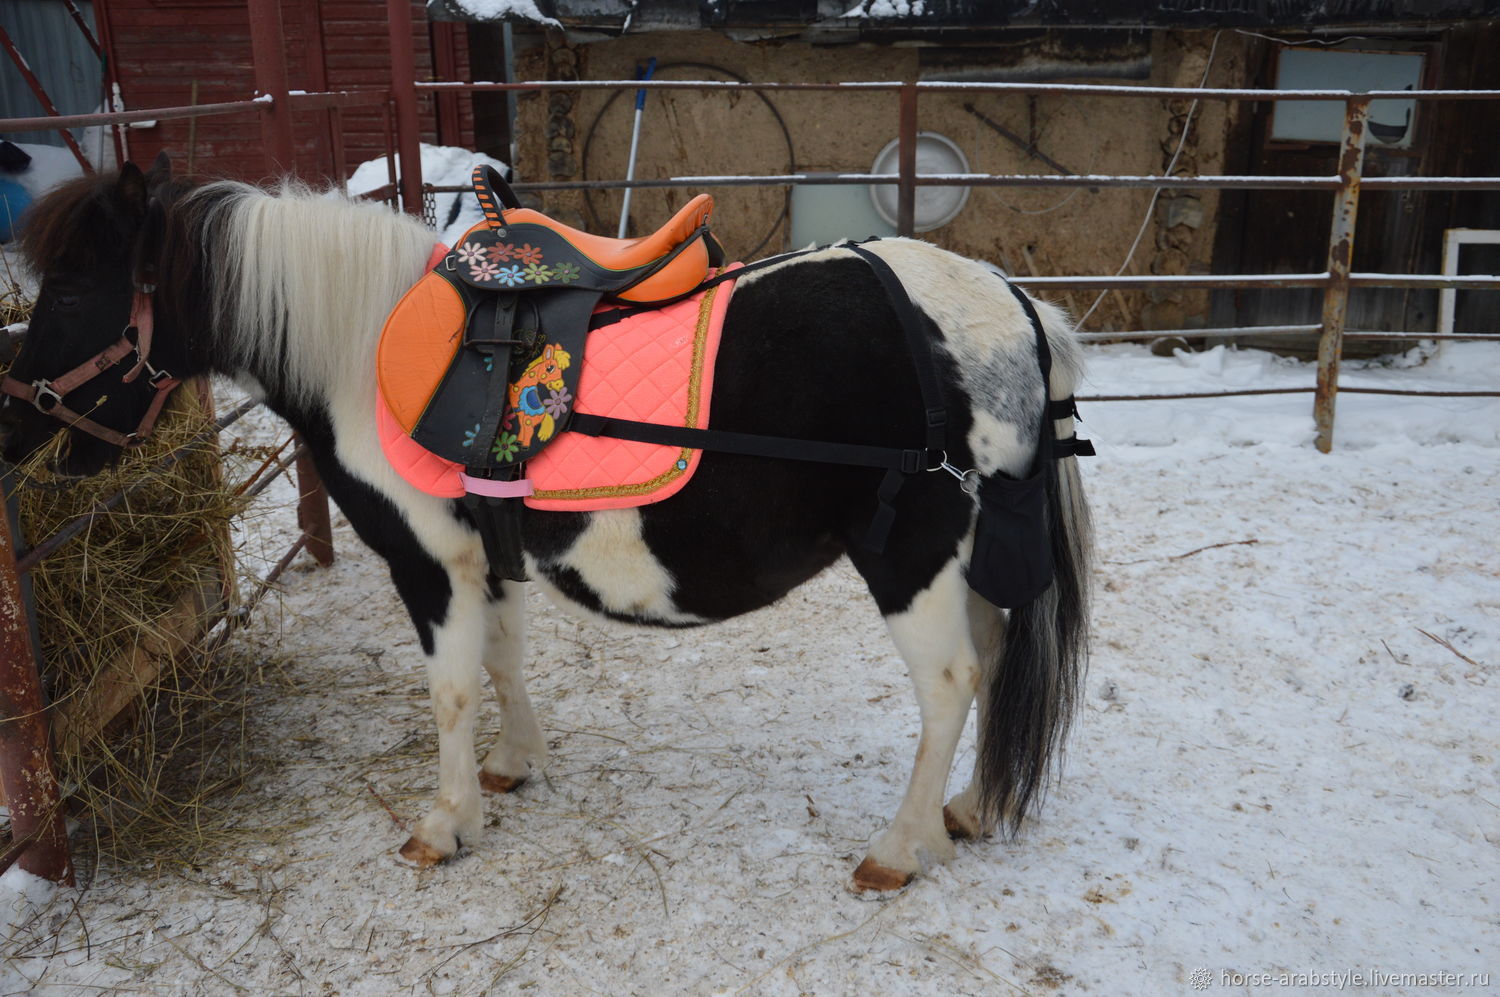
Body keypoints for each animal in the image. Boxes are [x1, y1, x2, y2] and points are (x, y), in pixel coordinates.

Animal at [0, 163, 1092, 893]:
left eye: (72, 287)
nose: (17, 424)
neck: (363, 345)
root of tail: (1011, 308)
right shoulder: (490, 553)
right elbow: (503, 658)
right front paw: (513, 764)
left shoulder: (430, 563)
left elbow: (450, 686)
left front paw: (446, 822)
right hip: (968, 561)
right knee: (997, 659)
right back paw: (968, 808)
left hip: (911, 560)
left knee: (950, 682)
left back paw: (900, 847)